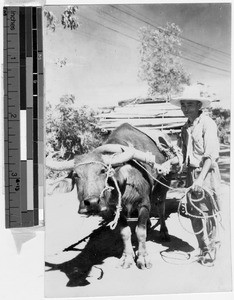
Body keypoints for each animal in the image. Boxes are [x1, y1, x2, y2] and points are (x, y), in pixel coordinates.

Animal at [46, 123, 180, 268]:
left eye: (103, 171)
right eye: (76, 175)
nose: (92, 203)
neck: (125, 181)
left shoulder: (144, 203)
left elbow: (140, 231)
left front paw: (143, 258)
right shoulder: (116, 208)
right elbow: (125, 232)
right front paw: (127, 257)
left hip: (164, 183)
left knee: (160, 206)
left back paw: (164, 232)